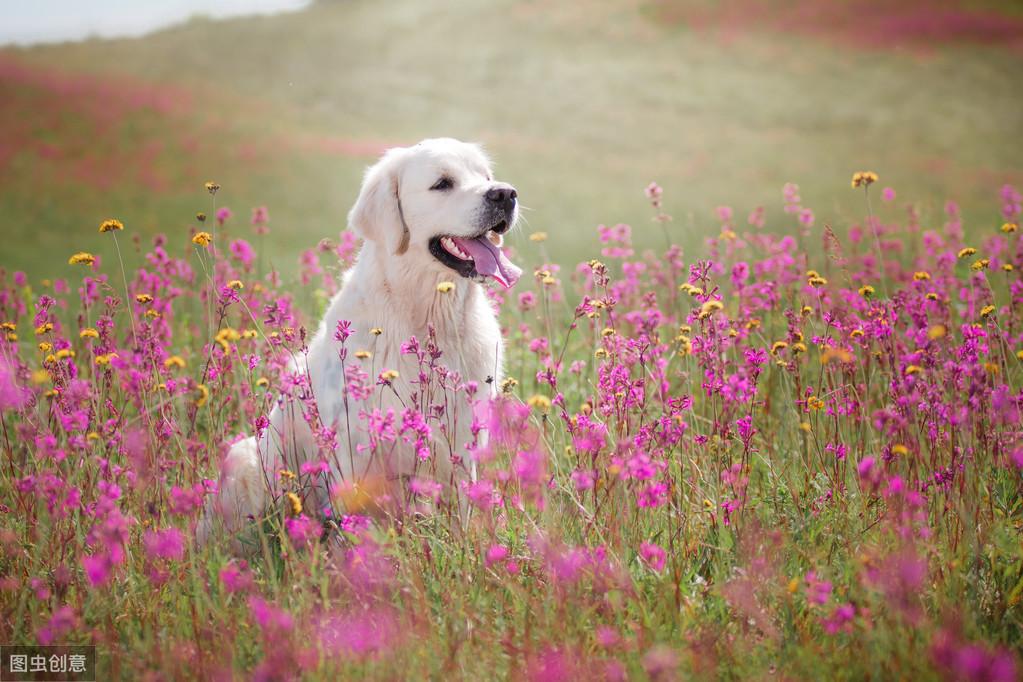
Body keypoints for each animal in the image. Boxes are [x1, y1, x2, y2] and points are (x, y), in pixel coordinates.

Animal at [196, 137, 523, 543]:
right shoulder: (353, 452)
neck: (426, 316)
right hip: (246, 461)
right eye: (443, 183)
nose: (506, 194)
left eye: (486, 177)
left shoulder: (463, 443)